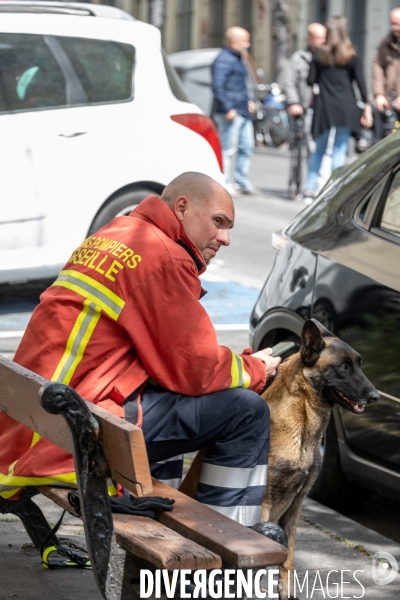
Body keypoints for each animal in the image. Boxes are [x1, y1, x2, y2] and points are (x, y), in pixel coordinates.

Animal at [180, 316, 380, 596]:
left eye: (359, 364)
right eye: (343, 366)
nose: (376, 396)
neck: (303, 420)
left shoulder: (296, 505)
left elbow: (288, 559)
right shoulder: (264, 500)